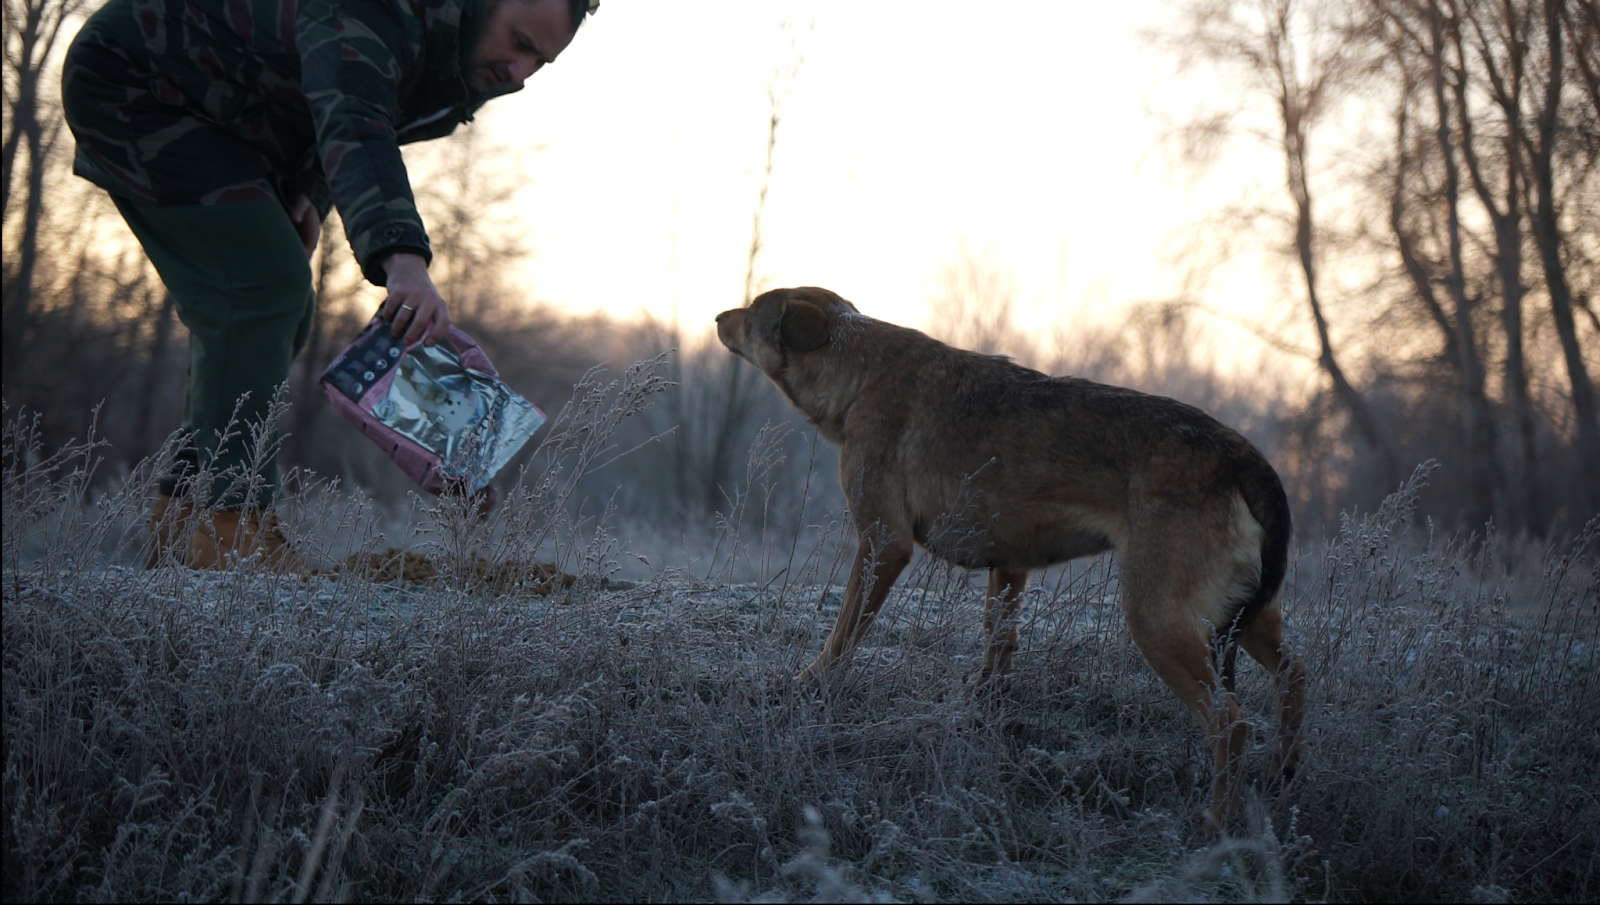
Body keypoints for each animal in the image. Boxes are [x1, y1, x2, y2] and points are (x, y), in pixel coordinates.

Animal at [720, 289, 1305, 831]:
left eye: (752, 310)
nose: (718, 316)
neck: (858, 369)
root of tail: (1244, 458)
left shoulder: (883, 543)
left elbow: (842, 635)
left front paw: (809, 684)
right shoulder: (1009, 562)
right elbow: (997, 639)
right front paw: (984, 703)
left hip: (1158, 620)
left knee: (1231, 722)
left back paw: (1216, 823)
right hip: (1246, 617)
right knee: (1294, 674)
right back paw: (1282, 774)